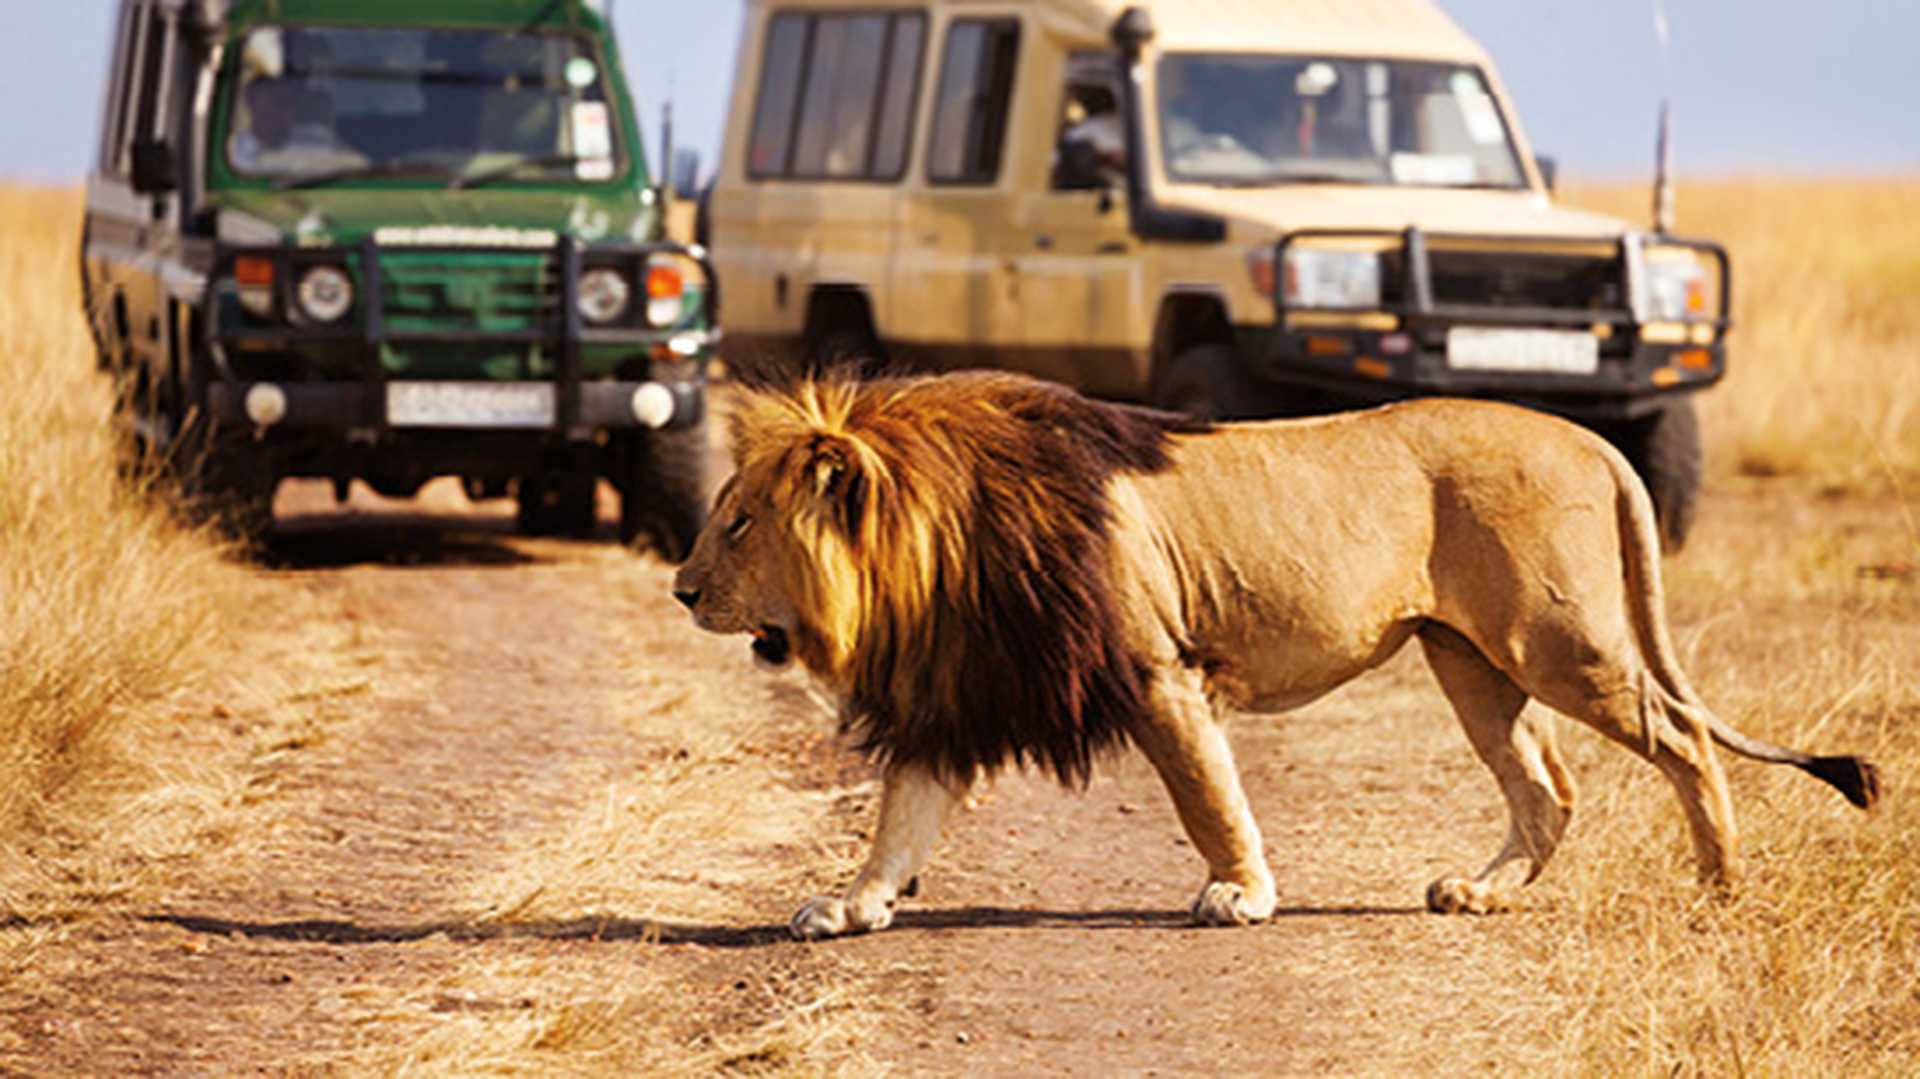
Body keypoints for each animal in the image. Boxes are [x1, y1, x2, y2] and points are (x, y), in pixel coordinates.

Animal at [672, 370, 1880, 938]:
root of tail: (1591, 437)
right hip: (1470, 660)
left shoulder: (1159, 670)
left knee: (1681, 736)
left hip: (1558, 639)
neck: (937, 549)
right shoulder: (956, 693)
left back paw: (1719, 885)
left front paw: (1241, 893)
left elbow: (1208, 794)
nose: (681, 588)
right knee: (1549, 786)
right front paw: (851, 906)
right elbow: (899, 818)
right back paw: (1477, 892)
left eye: (737, 522)